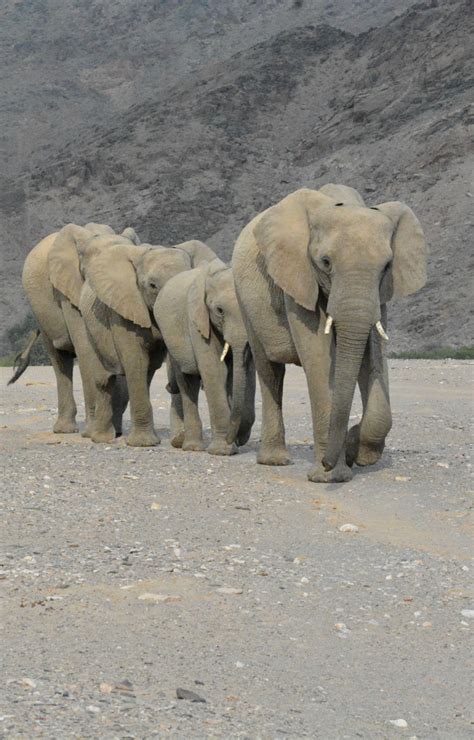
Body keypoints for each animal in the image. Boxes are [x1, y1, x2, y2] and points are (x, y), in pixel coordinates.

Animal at [17, 223, 139, 436]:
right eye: (91, 273)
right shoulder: (67, 290)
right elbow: (86, 346)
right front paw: (93, 431)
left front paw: (112, 430)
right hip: (40, 313)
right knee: (60, 359)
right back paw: (64, 430)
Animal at [78, 238, 218, 446]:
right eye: (152, 285)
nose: (170, 386)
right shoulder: (123, 309)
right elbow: (135, 360)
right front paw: (143, 444)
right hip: (90, 327)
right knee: (104, 379)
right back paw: (102, 438)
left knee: (147, 373)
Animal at [155, 260, 256, 456]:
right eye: (220, 310)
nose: (238, 439)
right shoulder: (198, 322)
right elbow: (215, 371)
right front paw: (222, 451)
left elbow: (241, 374)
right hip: (172, 340)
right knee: (187, 382)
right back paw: (192, 447)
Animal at [231, 183, 428, 482]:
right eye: (325, 262)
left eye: (386, 266)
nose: (327, 462)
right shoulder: (298, 275)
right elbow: (319, 356)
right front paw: (330, 476)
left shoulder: (380, 293)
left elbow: (374, 353)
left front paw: (356, 450)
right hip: (245, 302)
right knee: (270, 371)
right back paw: (275, 461)